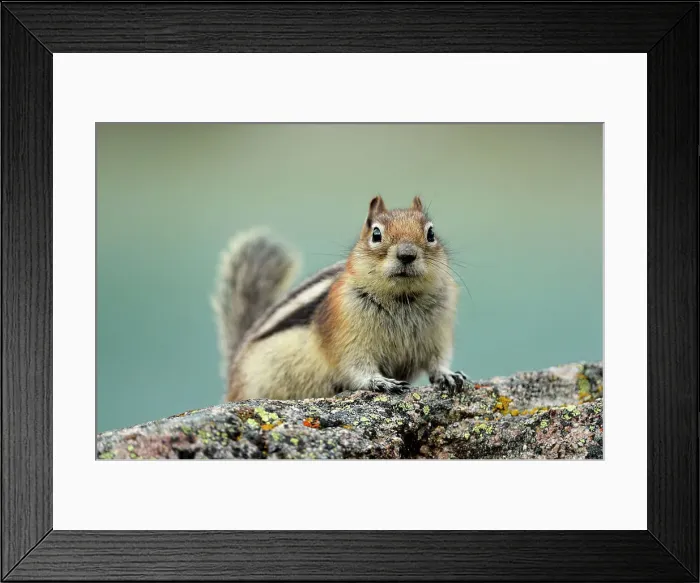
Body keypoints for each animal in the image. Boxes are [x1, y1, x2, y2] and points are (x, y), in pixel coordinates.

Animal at [212, 195, 469, 402]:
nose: (407, 254)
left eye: (431, 233)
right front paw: (380, 382)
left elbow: (438, 359)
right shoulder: (347, 336)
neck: (402, 298)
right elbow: (354, 366)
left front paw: (448, 375)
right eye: (376, 234)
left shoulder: (438, 334)